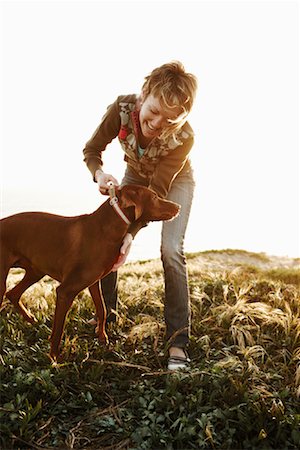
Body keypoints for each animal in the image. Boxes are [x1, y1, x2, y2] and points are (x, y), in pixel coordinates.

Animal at [0, 185, 179, 360]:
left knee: (13, 294)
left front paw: (102, 338)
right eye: (154, 197)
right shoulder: (65, 291)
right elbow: (59, 330)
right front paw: (55, 358)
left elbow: (102, 310)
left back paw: (32, 320)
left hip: (35, 271)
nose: (178, 207)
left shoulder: (93, 283)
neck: (106, 228)